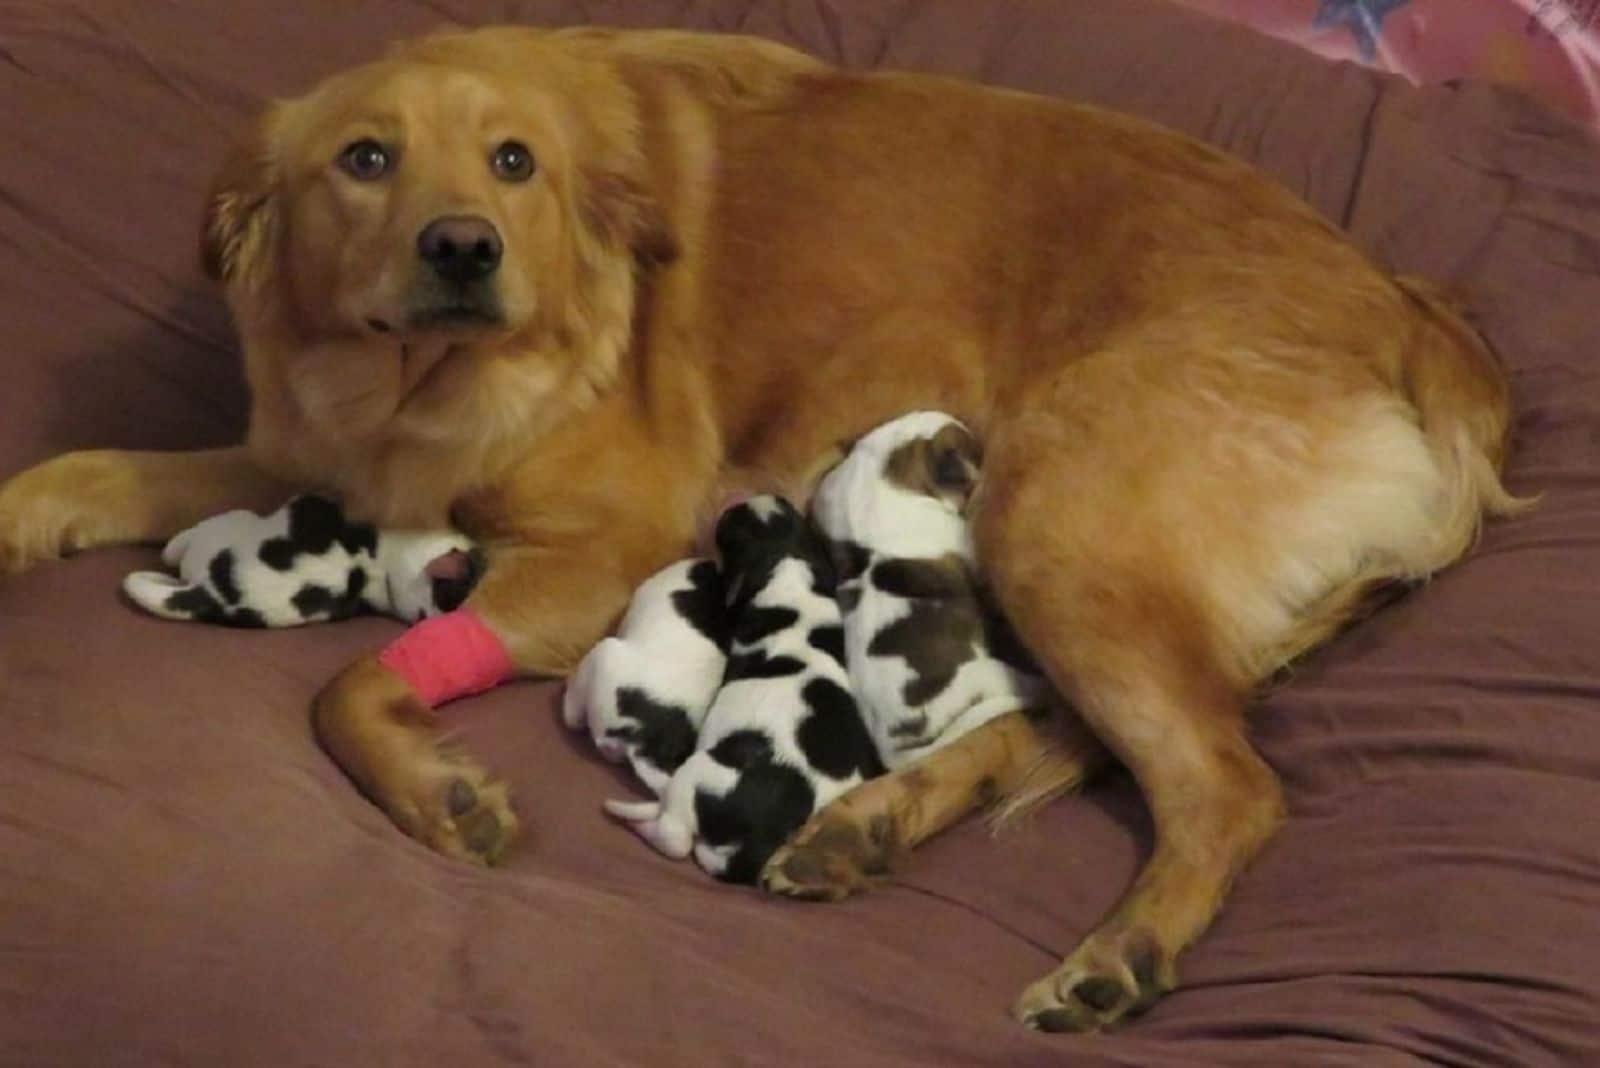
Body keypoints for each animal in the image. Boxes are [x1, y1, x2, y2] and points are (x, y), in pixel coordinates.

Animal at [608, 495, 889, 882]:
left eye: (728, 529)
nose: (738, 501)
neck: (788, 569)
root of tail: (756, 844)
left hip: (699, 772)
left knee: (674, 836)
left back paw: (631, 818)